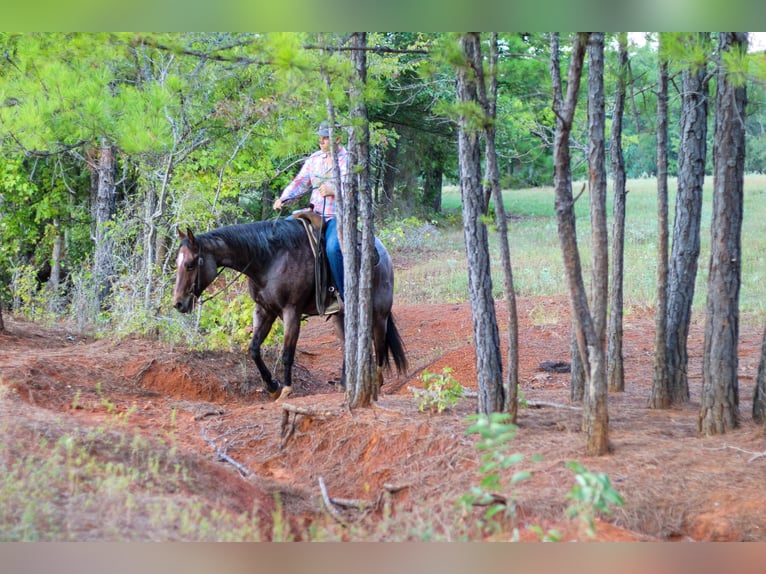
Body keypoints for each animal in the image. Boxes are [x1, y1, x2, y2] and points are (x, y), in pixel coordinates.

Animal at [170, 218, 408, 402]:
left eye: (190, 264)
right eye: (177, 263)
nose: (178, 303)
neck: (269, 259)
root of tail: (382, 252)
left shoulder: (291, 312)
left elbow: (287, 353)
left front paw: (286, 388)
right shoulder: (264, 310)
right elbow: (253, 349)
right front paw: (272, 386)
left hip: (379, 313)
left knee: (378, 343)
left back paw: (376, 381)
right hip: (341, 316)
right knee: (348, 342)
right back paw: (344, 384)